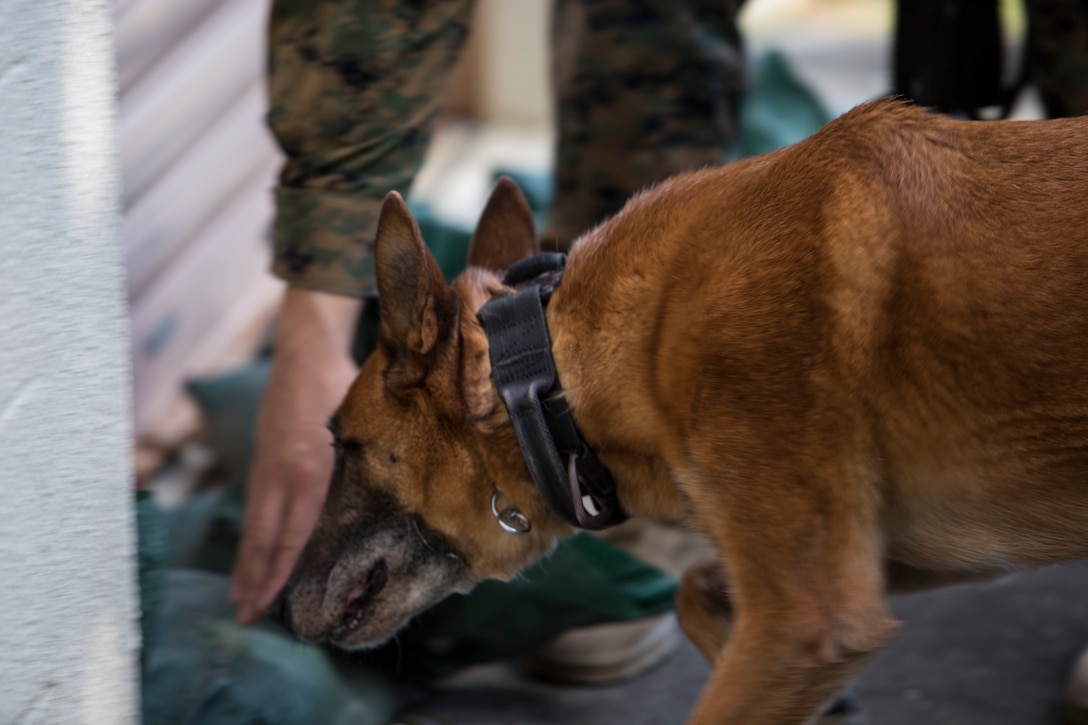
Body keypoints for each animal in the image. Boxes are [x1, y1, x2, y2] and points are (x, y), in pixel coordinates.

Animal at [278, 99, 1088, 718]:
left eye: (342, 445)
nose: (280, 608)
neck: (556, 369)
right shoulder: (900, 560)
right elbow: (697, 590)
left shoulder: (807, 618)